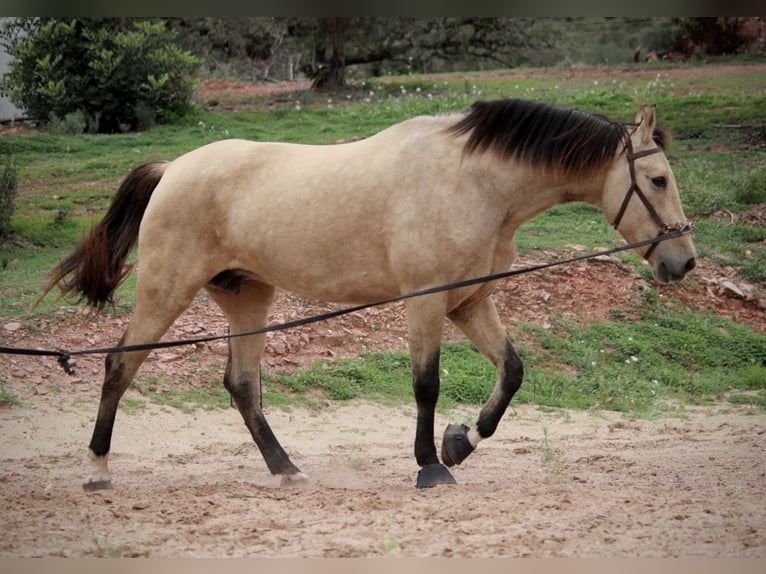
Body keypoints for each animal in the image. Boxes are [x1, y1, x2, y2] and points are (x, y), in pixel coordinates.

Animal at [45, 98, 700, 490]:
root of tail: (172, 169)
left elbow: (511, 371)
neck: (472, 181)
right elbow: (426, 384)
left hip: (248, 298)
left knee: (242, 387)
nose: (685, 261)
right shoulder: (427, 301)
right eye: (658, 179)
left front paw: (459, 444)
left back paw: (286, 469)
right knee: (119, 366)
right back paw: (98, 468)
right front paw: (431, 467)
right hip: (166, 290)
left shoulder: (469, 303)